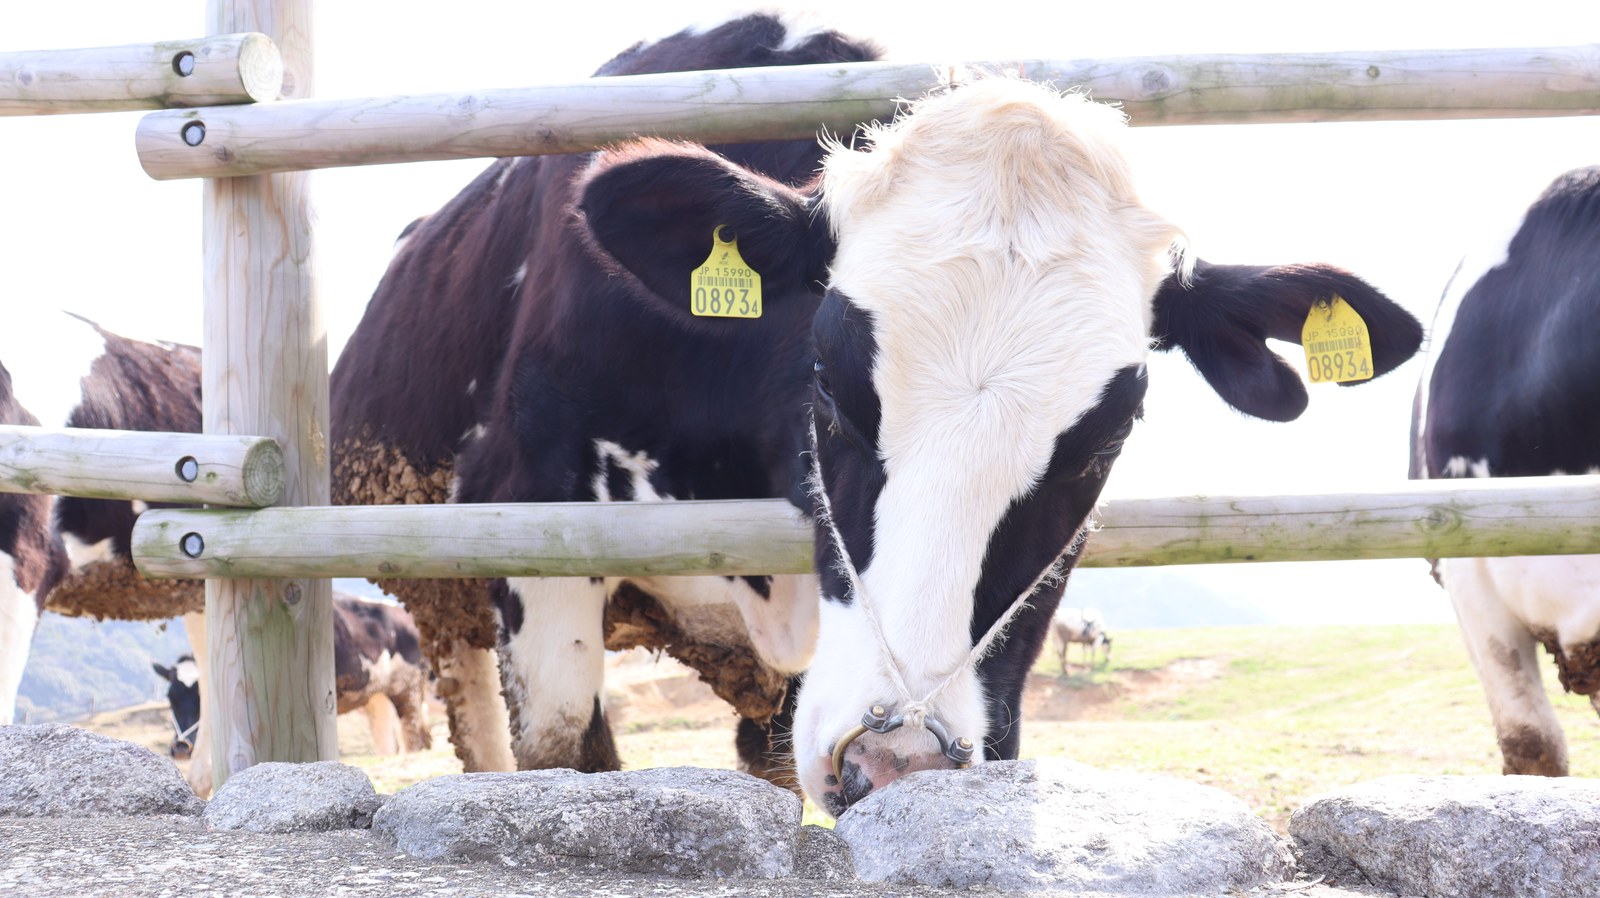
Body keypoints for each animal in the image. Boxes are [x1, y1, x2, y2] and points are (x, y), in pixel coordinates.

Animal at [154, 592, 432, 759]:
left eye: (203, 697)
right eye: (170, 698)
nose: (181, 748)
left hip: (407, 688)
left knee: (415, 738)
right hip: (378, 697)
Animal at [333, 12, 1423, 815]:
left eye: (1109, 434)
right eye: (826, 379)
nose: (894, 759)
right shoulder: (532, 525)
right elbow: (565, 755)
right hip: (443, 602)